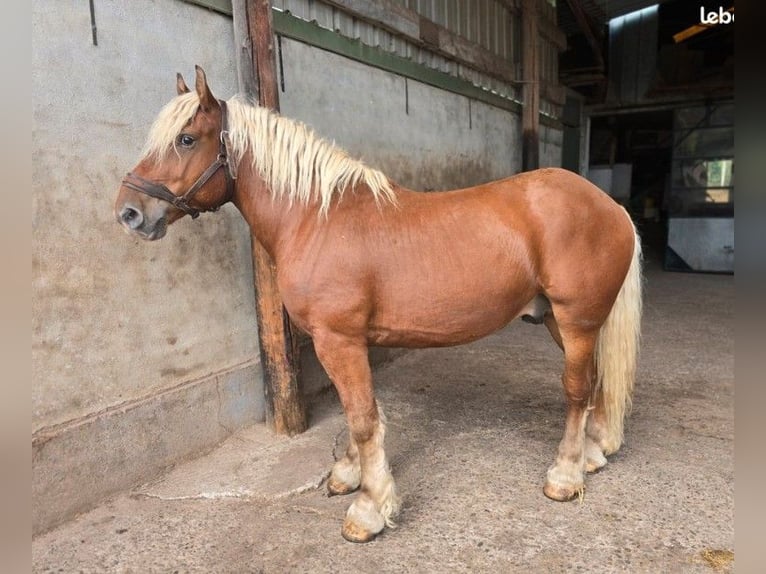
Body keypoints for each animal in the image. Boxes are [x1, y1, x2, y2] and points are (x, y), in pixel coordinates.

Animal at [114, 66, 642, 543]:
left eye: (186, 139)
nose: (129, 213)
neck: (315, 217)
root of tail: (610, 207)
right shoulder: (339, 342)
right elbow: (354, 414)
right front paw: (348, 475)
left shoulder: (339, 340)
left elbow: (364, 420)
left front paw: (368, 510)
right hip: (563, 322)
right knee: (595, 381)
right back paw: (595, 452)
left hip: (575, 320)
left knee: (575, 391)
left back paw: (565, 474)